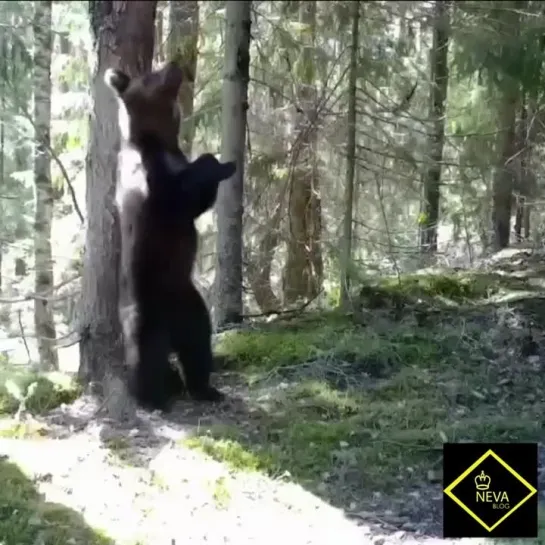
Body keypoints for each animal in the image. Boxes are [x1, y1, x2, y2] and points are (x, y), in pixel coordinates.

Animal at [105, 63, 235, 410]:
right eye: (151, 75)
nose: (176, 65)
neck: (160, 142)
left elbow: (198, 201)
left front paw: (226, 163)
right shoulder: (148, 182)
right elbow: (179, 197)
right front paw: (221, 162)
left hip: (190, 306)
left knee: (198, 345)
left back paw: (203, 388)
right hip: (145, 311)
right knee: (145, 356)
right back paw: (150, 396)